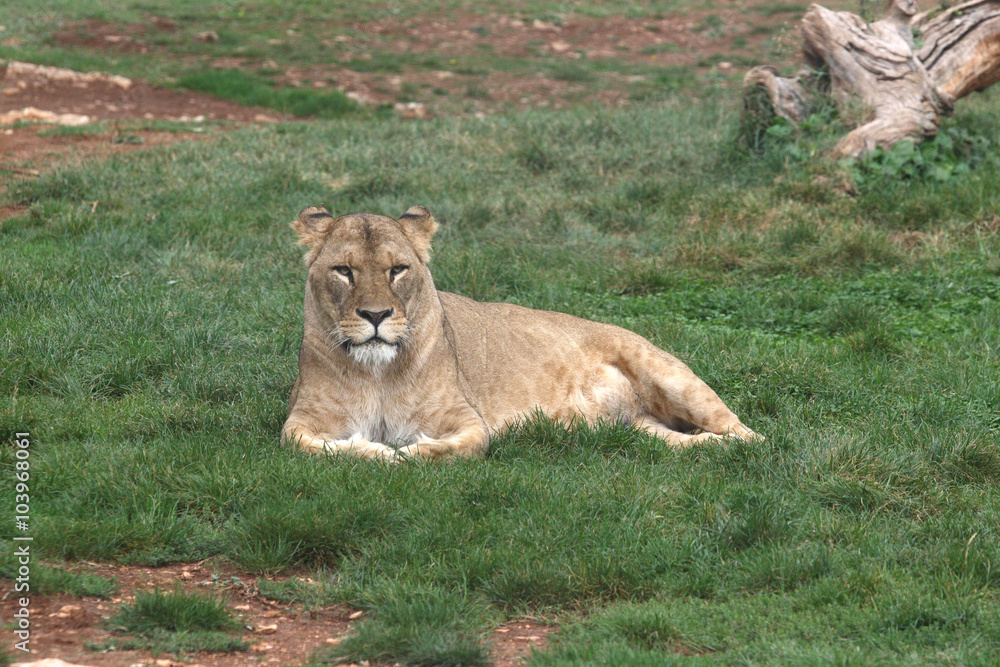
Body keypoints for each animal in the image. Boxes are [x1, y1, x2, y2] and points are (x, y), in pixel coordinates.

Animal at [282, 205, 759, 461]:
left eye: (397, 270)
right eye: (344, 271)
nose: (377, 314)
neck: (378, 373)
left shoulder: (468, 420)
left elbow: (451, 446)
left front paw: (400, 453)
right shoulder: (301, 420)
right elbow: (304, 445)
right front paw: (373, 450)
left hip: (667, 374)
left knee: (752, 436)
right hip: (640, 429)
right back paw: (699, 446)